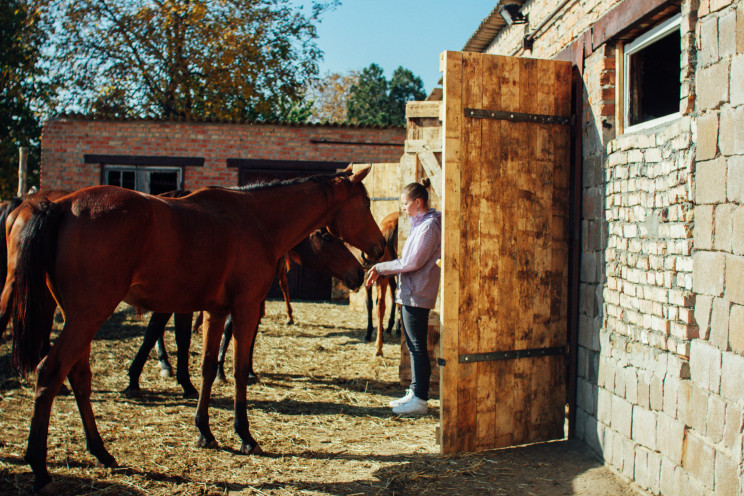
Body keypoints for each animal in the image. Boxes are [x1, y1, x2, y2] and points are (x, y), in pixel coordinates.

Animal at [8, 167, 384, 492]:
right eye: (364, 205)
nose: (376, 250)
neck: (257, 221)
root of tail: (60, 206)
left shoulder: (215, 312)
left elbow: (206, 368)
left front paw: (204, 430)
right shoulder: (245, 308)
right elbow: (237, 369)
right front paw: (244, 435)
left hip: (79, 317)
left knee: (78, 376)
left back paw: (101, 451)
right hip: (88, 314)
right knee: (50, 371)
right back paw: (39, 467)